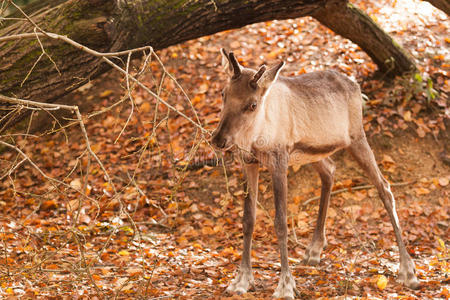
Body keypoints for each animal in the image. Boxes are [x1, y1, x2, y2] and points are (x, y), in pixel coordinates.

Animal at [213, 48, 420, 298]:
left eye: (252, 104)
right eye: (223, 93)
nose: (219, 139)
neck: (256, 136)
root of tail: (355, 84)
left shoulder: (279, 161)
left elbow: (280, 222)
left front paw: (285, 285)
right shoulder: (248, 162)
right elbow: (248, 219)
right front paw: (241, 280)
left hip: (357, 138)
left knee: (385, 187)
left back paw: (408, 270)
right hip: (315, 153)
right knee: (330, 171)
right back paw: (314, 248)